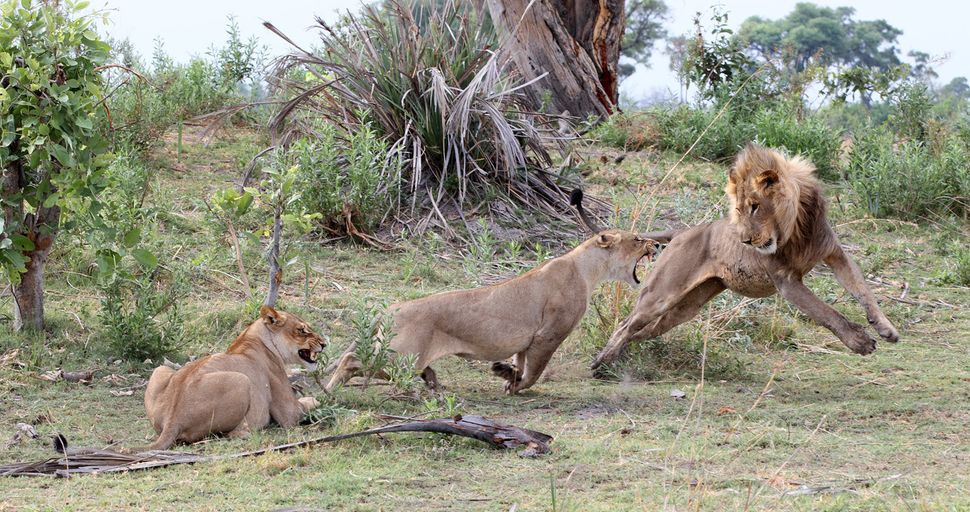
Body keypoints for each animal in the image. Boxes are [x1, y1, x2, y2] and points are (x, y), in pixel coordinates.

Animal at [145, 306, 326, 450]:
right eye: (302, 330)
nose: (324, 344)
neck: (252, 337)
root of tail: (171, 420)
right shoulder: (289, 412)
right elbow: (310, 402)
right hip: (241, 380)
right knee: (233, 433)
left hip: (160, 369)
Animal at [328, 230, 656, 394]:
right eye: (637, 240)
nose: (657, 244)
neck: (586, 268)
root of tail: (393, 307)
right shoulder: (549, 334)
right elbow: (535, 372)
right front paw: (516, 384)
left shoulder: (527, 340)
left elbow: (521, 362)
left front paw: (507, 375)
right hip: (403, 356)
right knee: (352, 359)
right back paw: (329, 390)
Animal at [580, 144, 896, 372]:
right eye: (739, 209)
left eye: (755, 206)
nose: (744, 240)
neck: (797, 227)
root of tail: (682, 231)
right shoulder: (787, 282)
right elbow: (826, 313)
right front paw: (859, 341)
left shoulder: (834, 254)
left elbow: (863, 290)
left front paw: (886, 329)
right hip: (661, 293)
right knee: (626, 324)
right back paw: (600, 363)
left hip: (686, 307)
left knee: (643, 330)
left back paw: (614, 358)